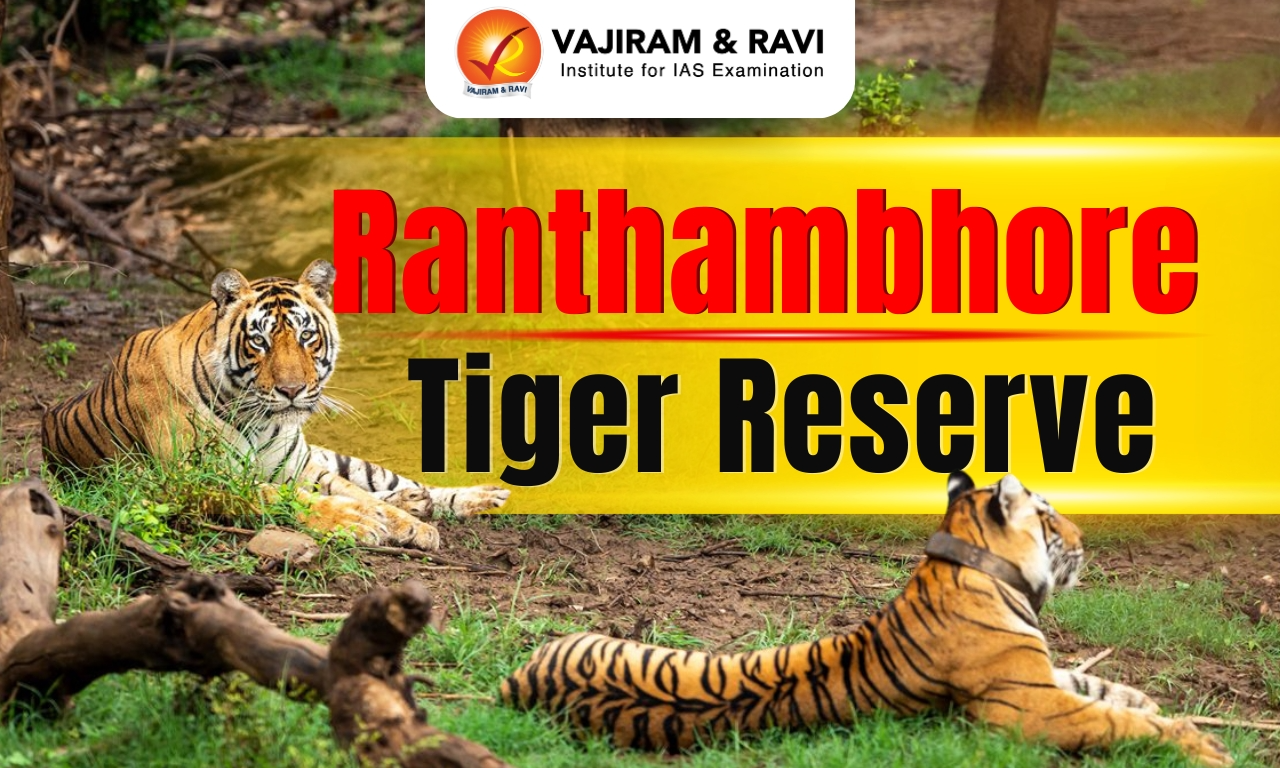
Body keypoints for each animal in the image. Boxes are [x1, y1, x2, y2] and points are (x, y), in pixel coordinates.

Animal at [41, 260, 508, 550]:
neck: (260, 420)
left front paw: (409, 525)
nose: (292, 390)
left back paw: (476, 497)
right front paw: (358, 522)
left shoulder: (303, 468)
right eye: (259, 341)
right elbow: (298, 500)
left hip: (331, 458)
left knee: (392, 481)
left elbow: (357, 493)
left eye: (306, 336)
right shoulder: (200, 480)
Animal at [501, 472, 1232, 767]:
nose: (1085, 539)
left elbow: (1111, 689)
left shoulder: (1042, 676)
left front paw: (1172, 713)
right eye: (1050, 517)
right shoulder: (1029, 707)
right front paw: (1201, 745)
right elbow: (1115, 719)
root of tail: (518, 680)